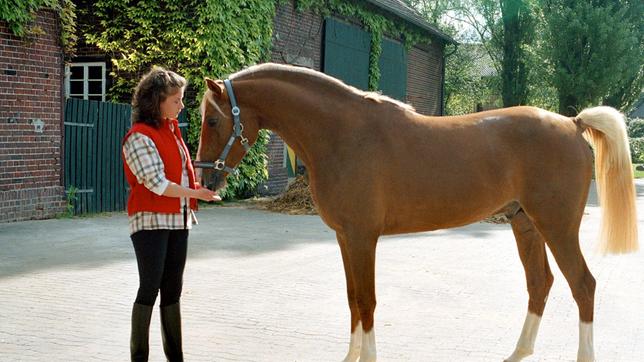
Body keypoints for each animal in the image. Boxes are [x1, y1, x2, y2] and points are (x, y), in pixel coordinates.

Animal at [196, 63, 640, 362]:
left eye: (213, 119)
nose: (205, 181)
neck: (344, 134)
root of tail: (573, 123)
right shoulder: (345, 238)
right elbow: (353, 299)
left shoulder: (363, 238)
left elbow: (368, 301)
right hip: (525, 223)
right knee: (540, 283)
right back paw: (518, 352)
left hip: (557, 226)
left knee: (583, 285)